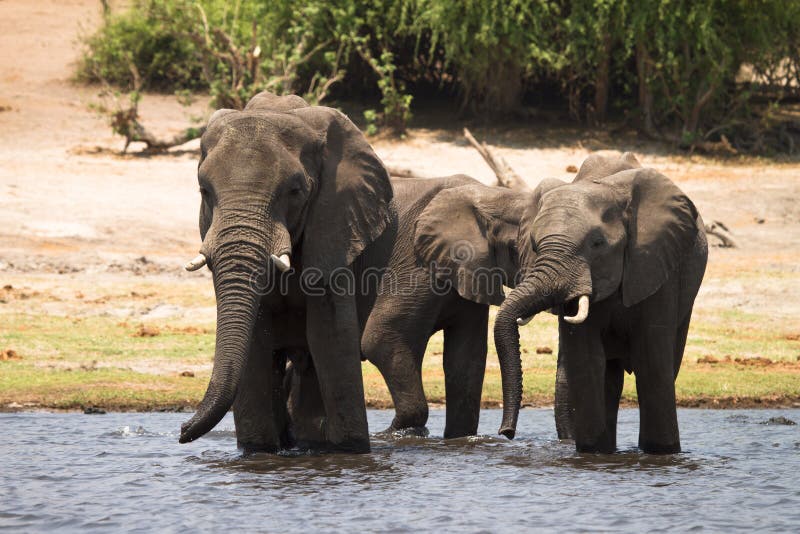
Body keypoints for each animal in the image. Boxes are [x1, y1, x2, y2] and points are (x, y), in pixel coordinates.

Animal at [178, 91, 394, 453]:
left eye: (295, 191)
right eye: (204, 191)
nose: (181, 431)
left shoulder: (335, 228)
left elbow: (329, 338)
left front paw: (350, 450)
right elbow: (255, 342)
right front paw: (259, 451)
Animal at [493, 152, 708, 454]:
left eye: (597, 243)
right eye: (534, 246)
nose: (506, 432)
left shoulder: (655, 264)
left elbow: (652, 362)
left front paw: (661, 452)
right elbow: (586, 360)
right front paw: (593, 452)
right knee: (610, 376)